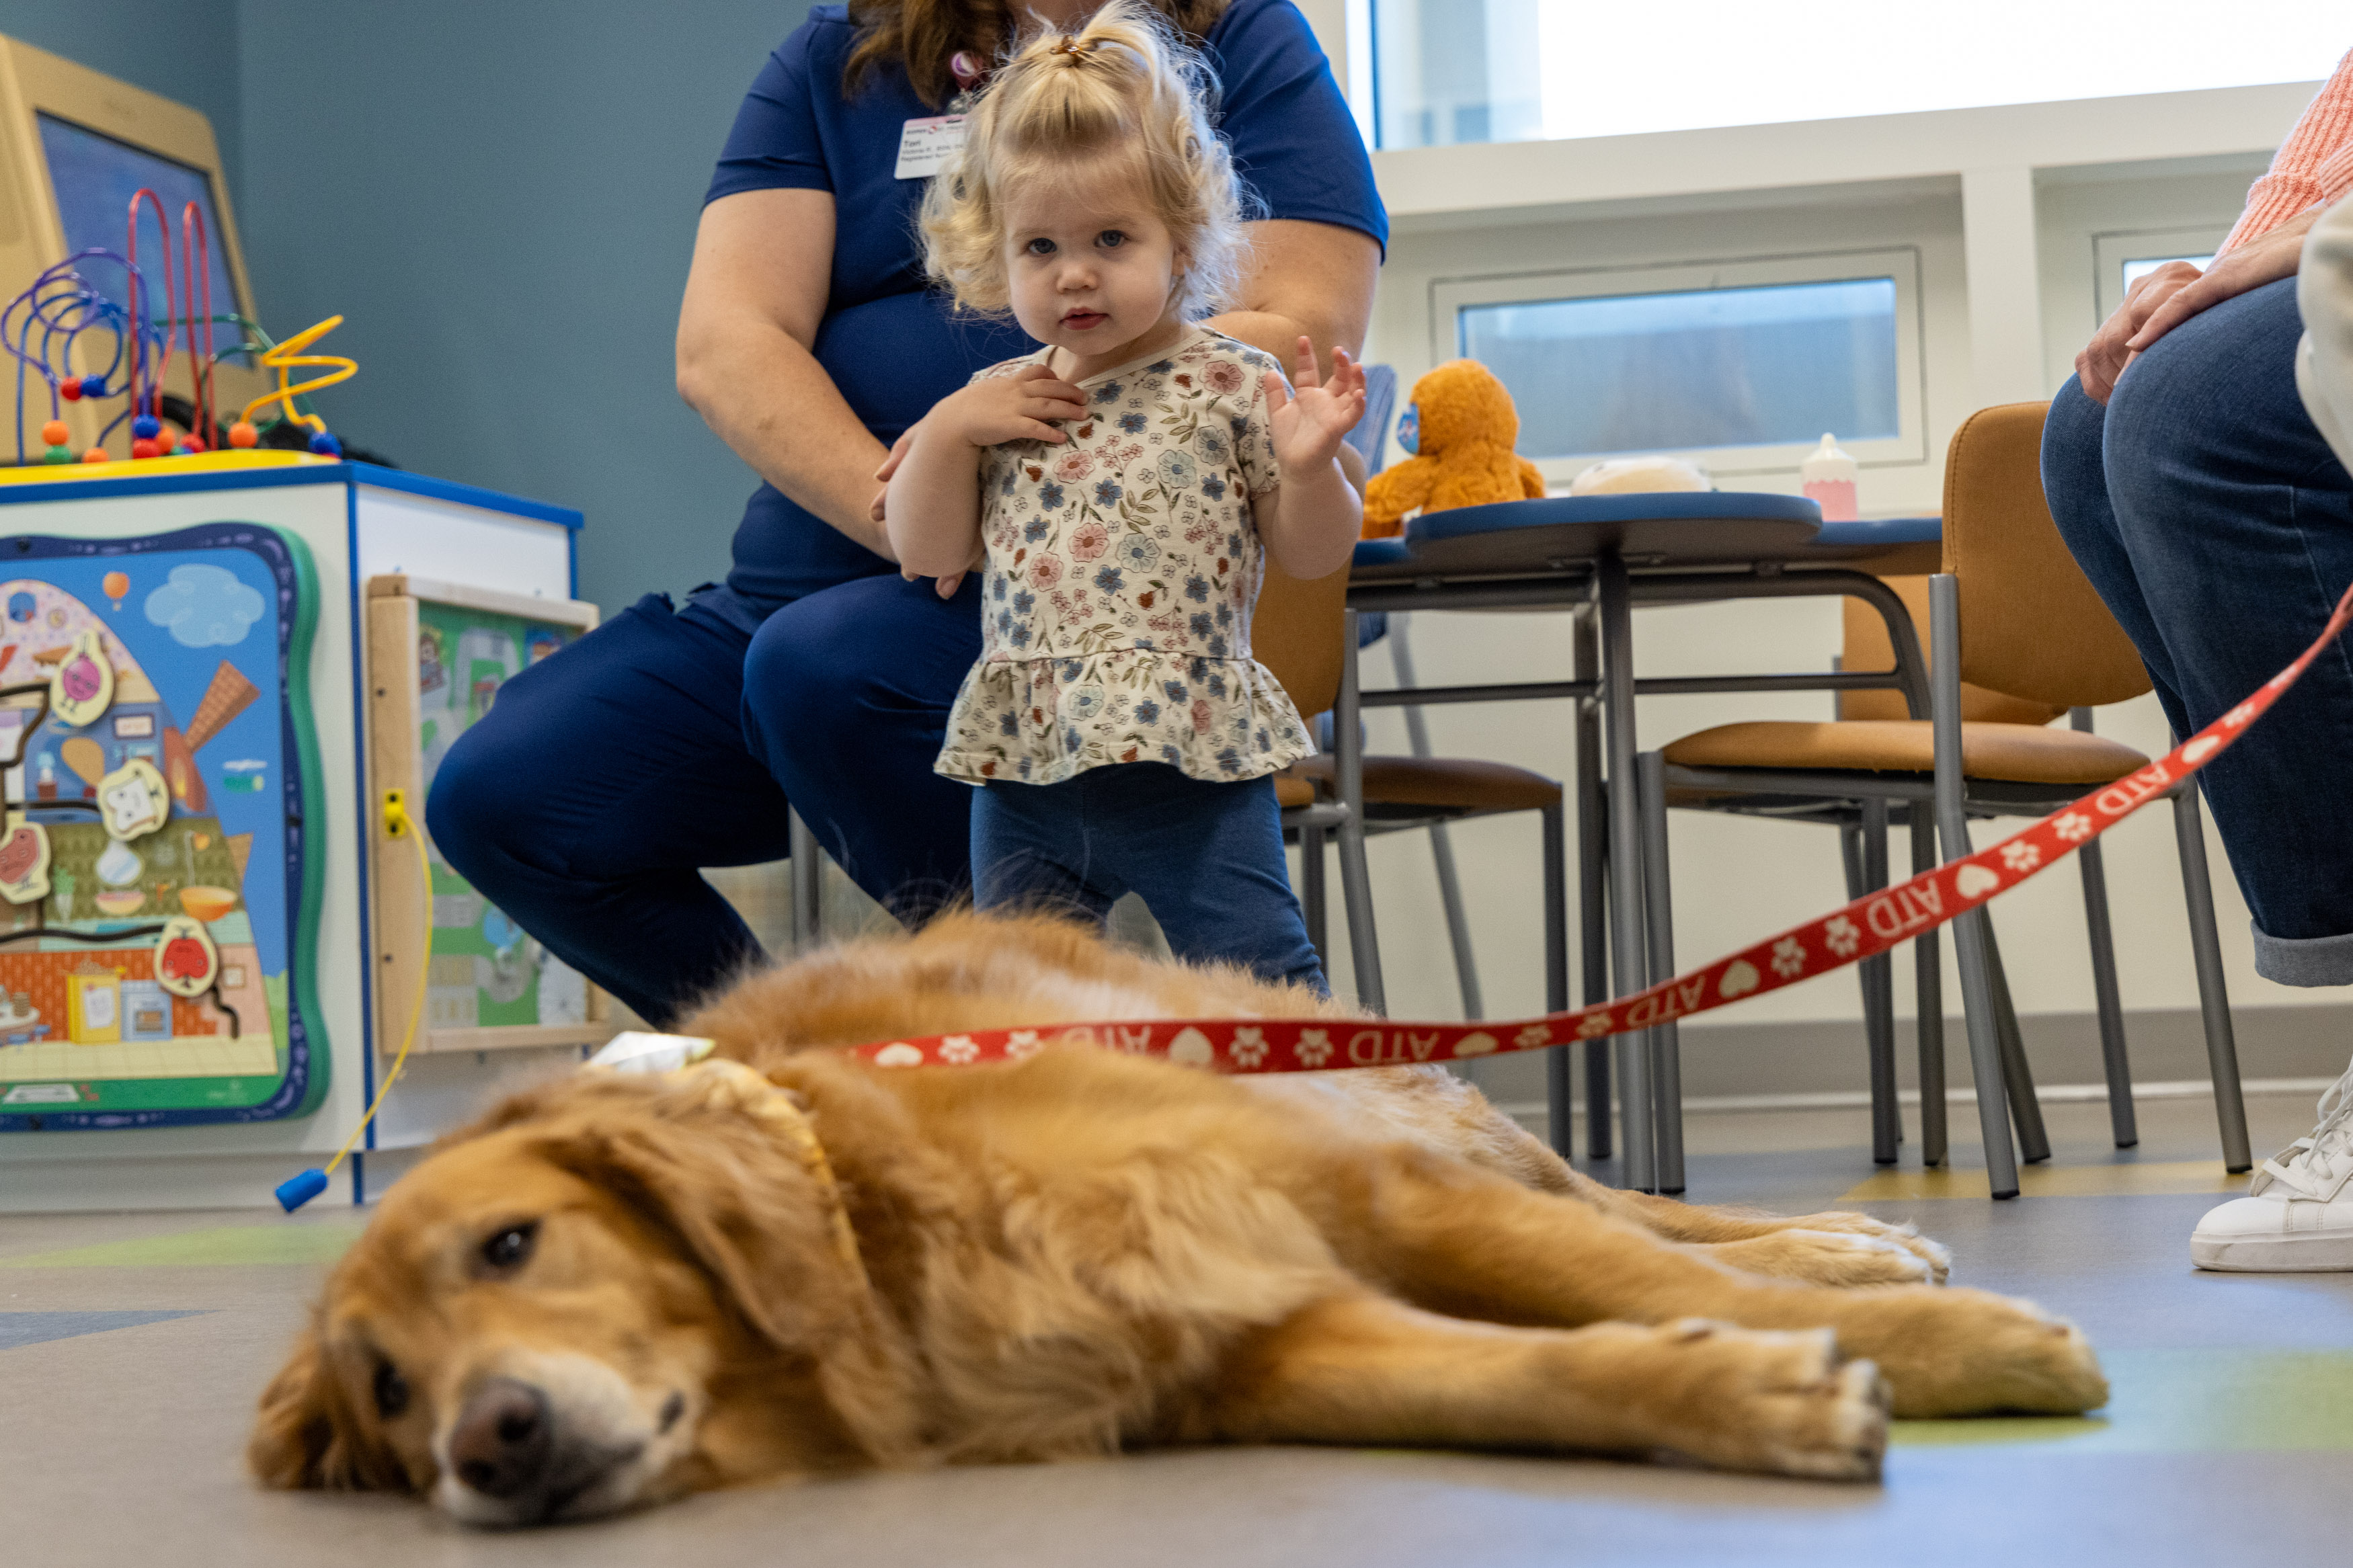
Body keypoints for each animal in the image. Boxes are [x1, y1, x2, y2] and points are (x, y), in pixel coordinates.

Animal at [250, 913, 2108, 1527]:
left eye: (511, 1245)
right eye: (387, 1392)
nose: (485, 1441)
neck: (889, 1243)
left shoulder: (1364, 1188)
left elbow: (1625, 1265)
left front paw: (1963, 1339)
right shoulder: (1259, 1338)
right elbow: (1551, 1369)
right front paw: (1760, 1393)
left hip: (1402, 1106)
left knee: (1621, 1194)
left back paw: (1851, 1240)